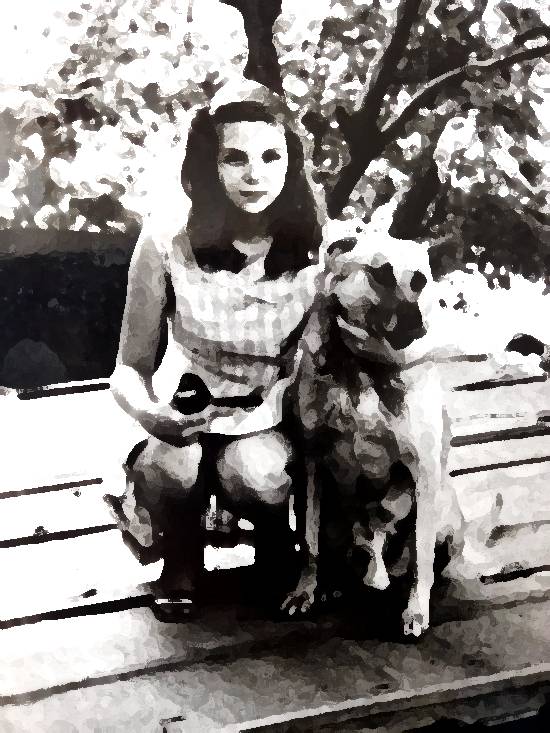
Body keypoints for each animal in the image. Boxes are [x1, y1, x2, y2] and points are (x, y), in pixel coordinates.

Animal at [282, 235, 450, 637]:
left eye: (420, 279)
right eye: (381, 273)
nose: (416, 322)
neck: (364, 364)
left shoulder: (424, 471)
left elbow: (422, 555)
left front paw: (416, 611)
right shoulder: (311, 464)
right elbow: (308, 541)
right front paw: (305, 591)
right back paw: (337, 584)